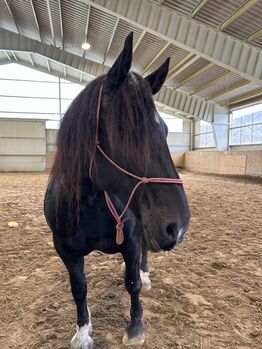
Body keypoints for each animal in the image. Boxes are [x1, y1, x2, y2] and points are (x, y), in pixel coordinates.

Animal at [44, 32, 189, 346]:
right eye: (125, 130)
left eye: (166, 130)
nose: (178, 225)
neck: (89, 204)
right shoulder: (64, 248)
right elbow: (79, 288)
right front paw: (83, 331)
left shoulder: (133, 237)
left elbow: (132, 284)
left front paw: (135, 328)